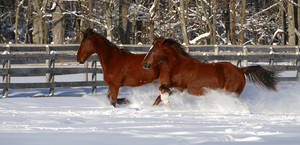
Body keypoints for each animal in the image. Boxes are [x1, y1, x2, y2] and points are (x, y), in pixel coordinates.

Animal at [142, 36, 278, 106]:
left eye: (154, 50)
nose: (144, 64)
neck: (177, 66)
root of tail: (240, 69)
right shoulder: (175, 87)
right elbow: (157, 98)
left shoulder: (180, 87)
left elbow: (162, 90)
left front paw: (165, 99)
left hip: (230, 92)